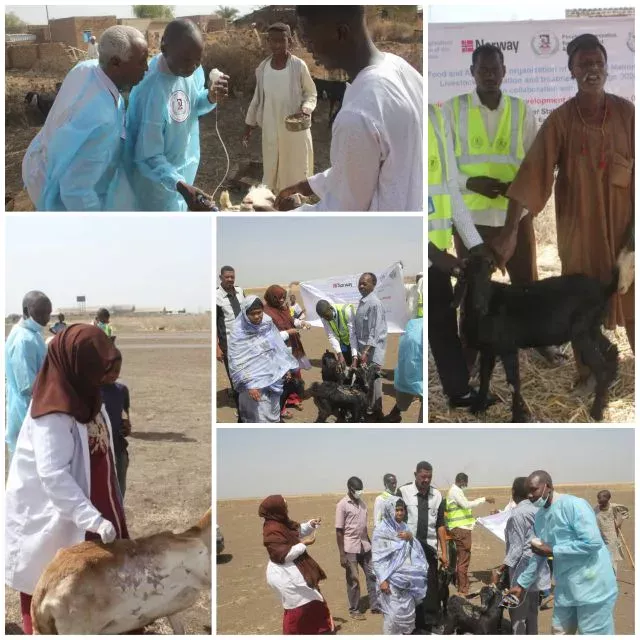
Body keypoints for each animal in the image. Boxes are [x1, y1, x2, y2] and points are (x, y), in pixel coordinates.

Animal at [460, 252, 620, 422]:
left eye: (488, 275)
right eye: (469, 276)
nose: (479, 306)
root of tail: (604, 290)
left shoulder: (508, 347)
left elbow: (513, 383)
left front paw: (517, 417)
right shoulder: (487, 350)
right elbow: (484, 378)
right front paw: (477, 408)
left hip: (582, 332)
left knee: (601, 368)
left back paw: (596, 412)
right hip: (592, 328)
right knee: (611, 349)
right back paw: (608, 389)